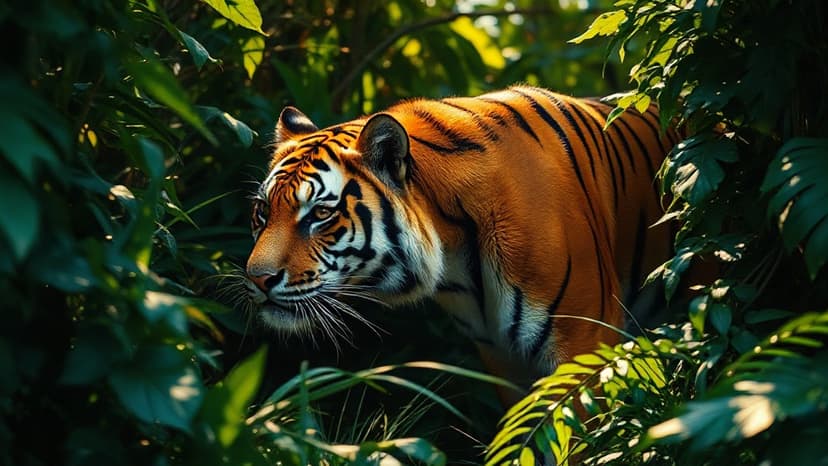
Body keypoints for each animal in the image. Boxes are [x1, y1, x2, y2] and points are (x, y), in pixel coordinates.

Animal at [244, 85, 678, 388]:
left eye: (320, 214)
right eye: (263, 211)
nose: (257, 279)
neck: (455, 254)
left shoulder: (585, 340)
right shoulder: (501, 356)